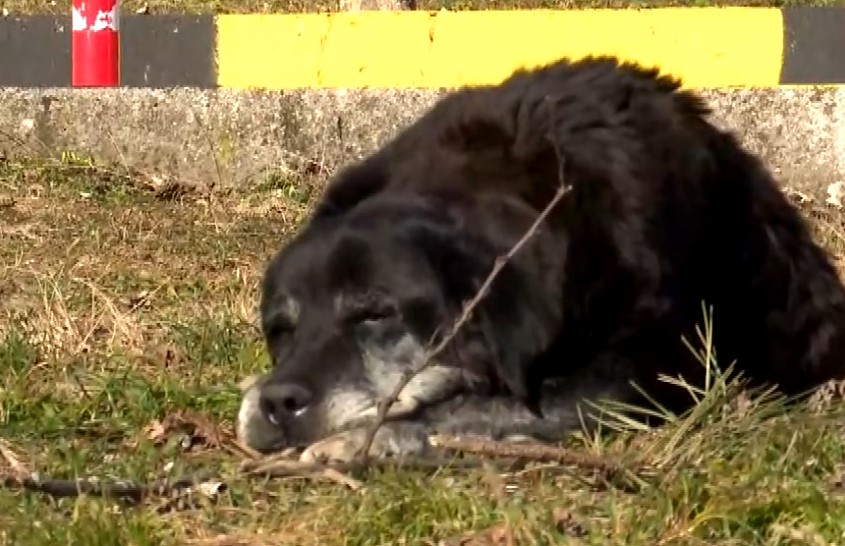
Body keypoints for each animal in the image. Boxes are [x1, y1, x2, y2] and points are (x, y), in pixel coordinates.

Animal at [234, 55, 844, 462]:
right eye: (281, 329)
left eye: (375, 314)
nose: (278, 401)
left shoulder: (632, 383)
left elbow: (472, 408)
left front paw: (362, 438)